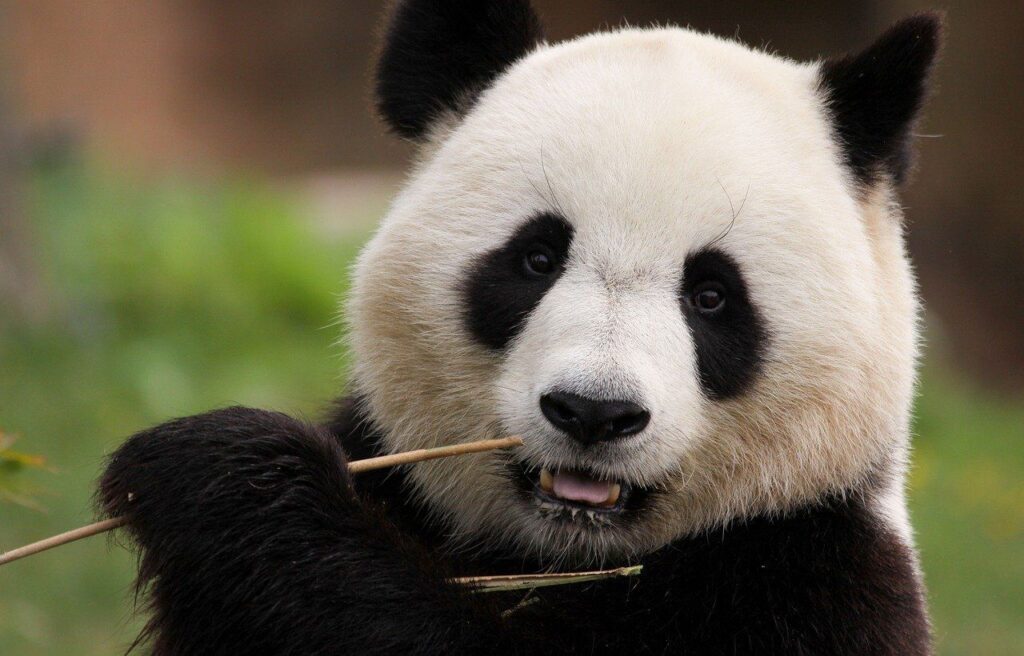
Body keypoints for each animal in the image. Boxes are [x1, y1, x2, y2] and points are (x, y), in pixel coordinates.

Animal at [99, 2, 941, 654]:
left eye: (711, 296)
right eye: (536, 257)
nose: (594, 413)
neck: (561, 554)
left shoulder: (804, 582)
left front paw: (215, 467)